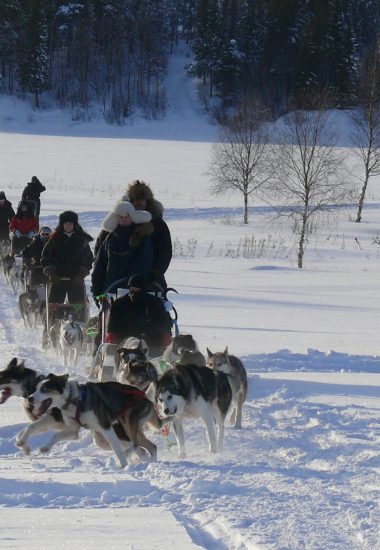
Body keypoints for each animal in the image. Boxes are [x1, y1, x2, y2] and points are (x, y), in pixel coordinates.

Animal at [17, 376, 169, 470]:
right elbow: (45, 432)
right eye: (36, 389)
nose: (30, 398)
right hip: (103, 439)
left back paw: (137, 460)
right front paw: (38, 447)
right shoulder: (72, 429)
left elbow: (117, 450)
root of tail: (146, 397)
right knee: (144, 448)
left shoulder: (106, 428)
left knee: (137, 444)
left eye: (44, 389)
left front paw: (123, 466)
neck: (75, 399)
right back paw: (145, 461)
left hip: (126, 425)